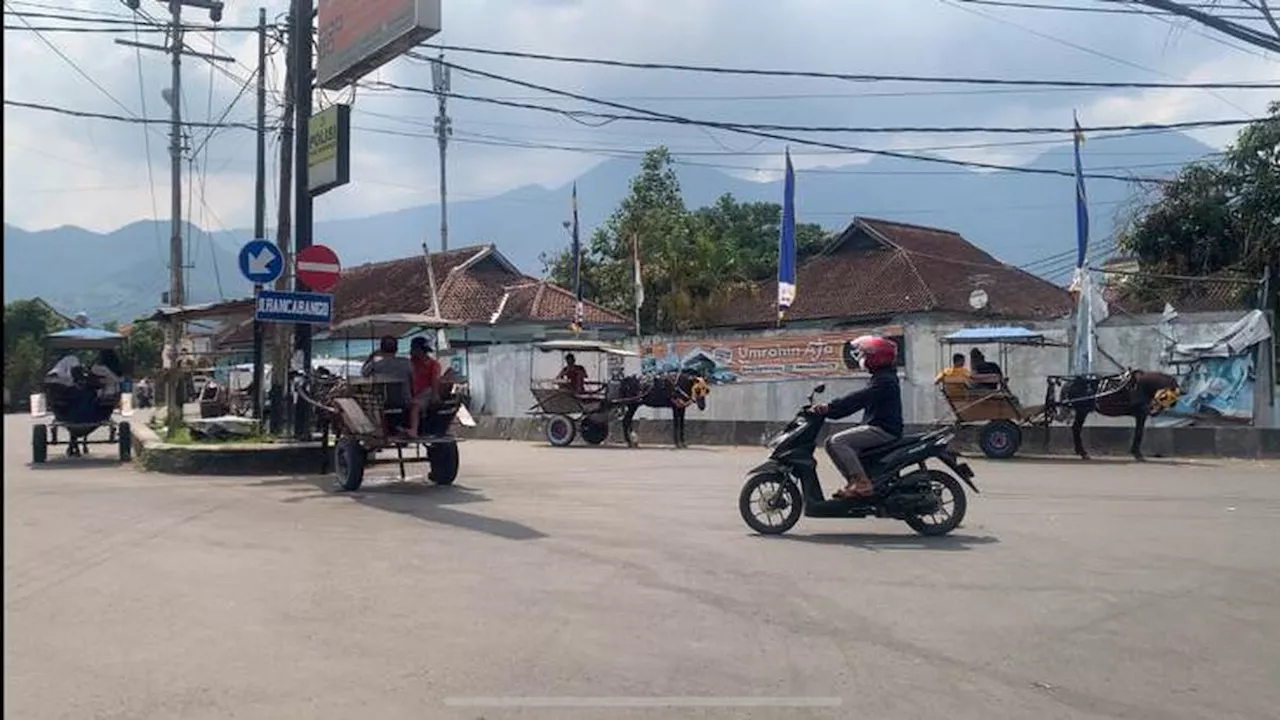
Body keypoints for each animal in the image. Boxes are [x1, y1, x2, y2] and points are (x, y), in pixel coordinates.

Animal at [1054, 368, 1182, 458]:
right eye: (1173, 394)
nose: (1174, 405)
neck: (1142, 386)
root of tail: (1072, 382)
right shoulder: (1141, 414)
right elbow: (1139, 433)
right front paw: (1137, 454)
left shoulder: (1141, 415)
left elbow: (1138, 432)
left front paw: (1135, 452)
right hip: (1082, 411)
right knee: (1076, 429)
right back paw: (1082, 452)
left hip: (1082, 411)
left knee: (1076, 428)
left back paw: (1081, 452)